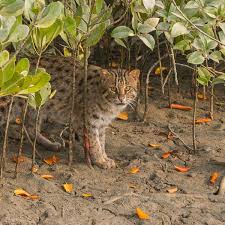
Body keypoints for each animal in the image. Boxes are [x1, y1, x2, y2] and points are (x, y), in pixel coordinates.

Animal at [0, 57, 140, 169]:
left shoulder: (101, 123)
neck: (109, 105)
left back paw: (50, 144)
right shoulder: (86, 122)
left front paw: (105, 158)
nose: (121, 98)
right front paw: (100, 160)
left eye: (128, 88)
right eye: (113, 89)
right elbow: (95, 143)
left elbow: (102, 142)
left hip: (37, 107)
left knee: (30, 128)